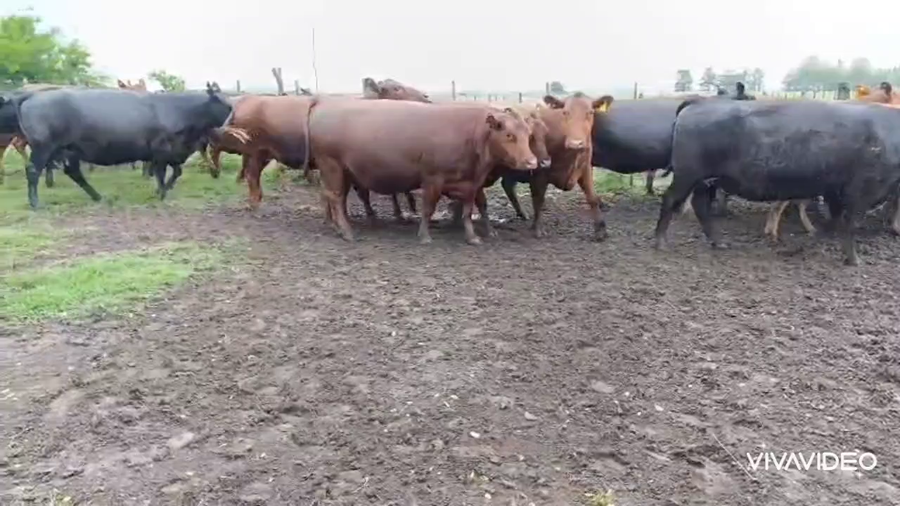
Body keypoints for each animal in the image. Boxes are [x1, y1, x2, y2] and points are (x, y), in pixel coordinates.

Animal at [13, 82, 232, 208]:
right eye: (224, 104)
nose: (233, 116)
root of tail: (33, 96)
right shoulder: (161, 149)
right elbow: (162, 173)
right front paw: (161, 193)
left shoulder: (171, 152)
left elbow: (176, 172)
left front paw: (162, 191)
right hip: (44, 147)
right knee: (33, 171)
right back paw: (35, 203)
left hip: (68, 149)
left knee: (74, 172)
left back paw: (98, 197)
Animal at [307, 98, 538, 244]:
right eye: (509, 135)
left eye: (528, 134)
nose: (532, 162)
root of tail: (323, 103)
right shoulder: (433, 179)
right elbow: (428, 208)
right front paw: (425, 236)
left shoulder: (471, 184)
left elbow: (470, 210)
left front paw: (473, 237)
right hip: (332, 166)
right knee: (336, 198)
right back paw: (347, 232)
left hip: (344, 172)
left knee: (336, 197)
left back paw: (339, 227)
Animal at [654, 98, 900, 266]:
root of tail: (699, 102)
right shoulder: (862, 190)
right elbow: (850, 224)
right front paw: (853, 259)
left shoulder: (835, 190)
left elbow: (835, 220)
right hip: (687, 175)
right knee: (670, 199)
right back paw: (660, 242)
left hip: (706, 180)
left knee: (700, 206)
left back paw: (718, 242)